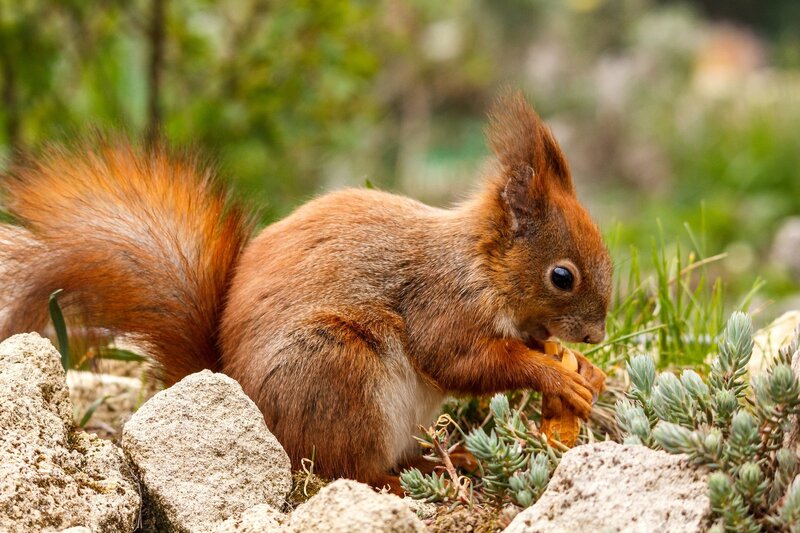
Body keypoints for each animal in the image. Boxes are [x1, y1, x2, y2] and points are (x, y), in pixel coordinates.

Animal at [0, 90, 611, 491]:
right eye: (562, 276)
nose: (597, 335)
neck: (480, 268)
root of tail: (238, 395)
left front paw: (584, 373)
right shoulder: (441, 305)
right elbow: (463, 361)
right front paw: (555, 374)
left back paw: (450, 461)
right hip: (337, 372)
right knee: (348, 470)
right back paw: (406, 479)